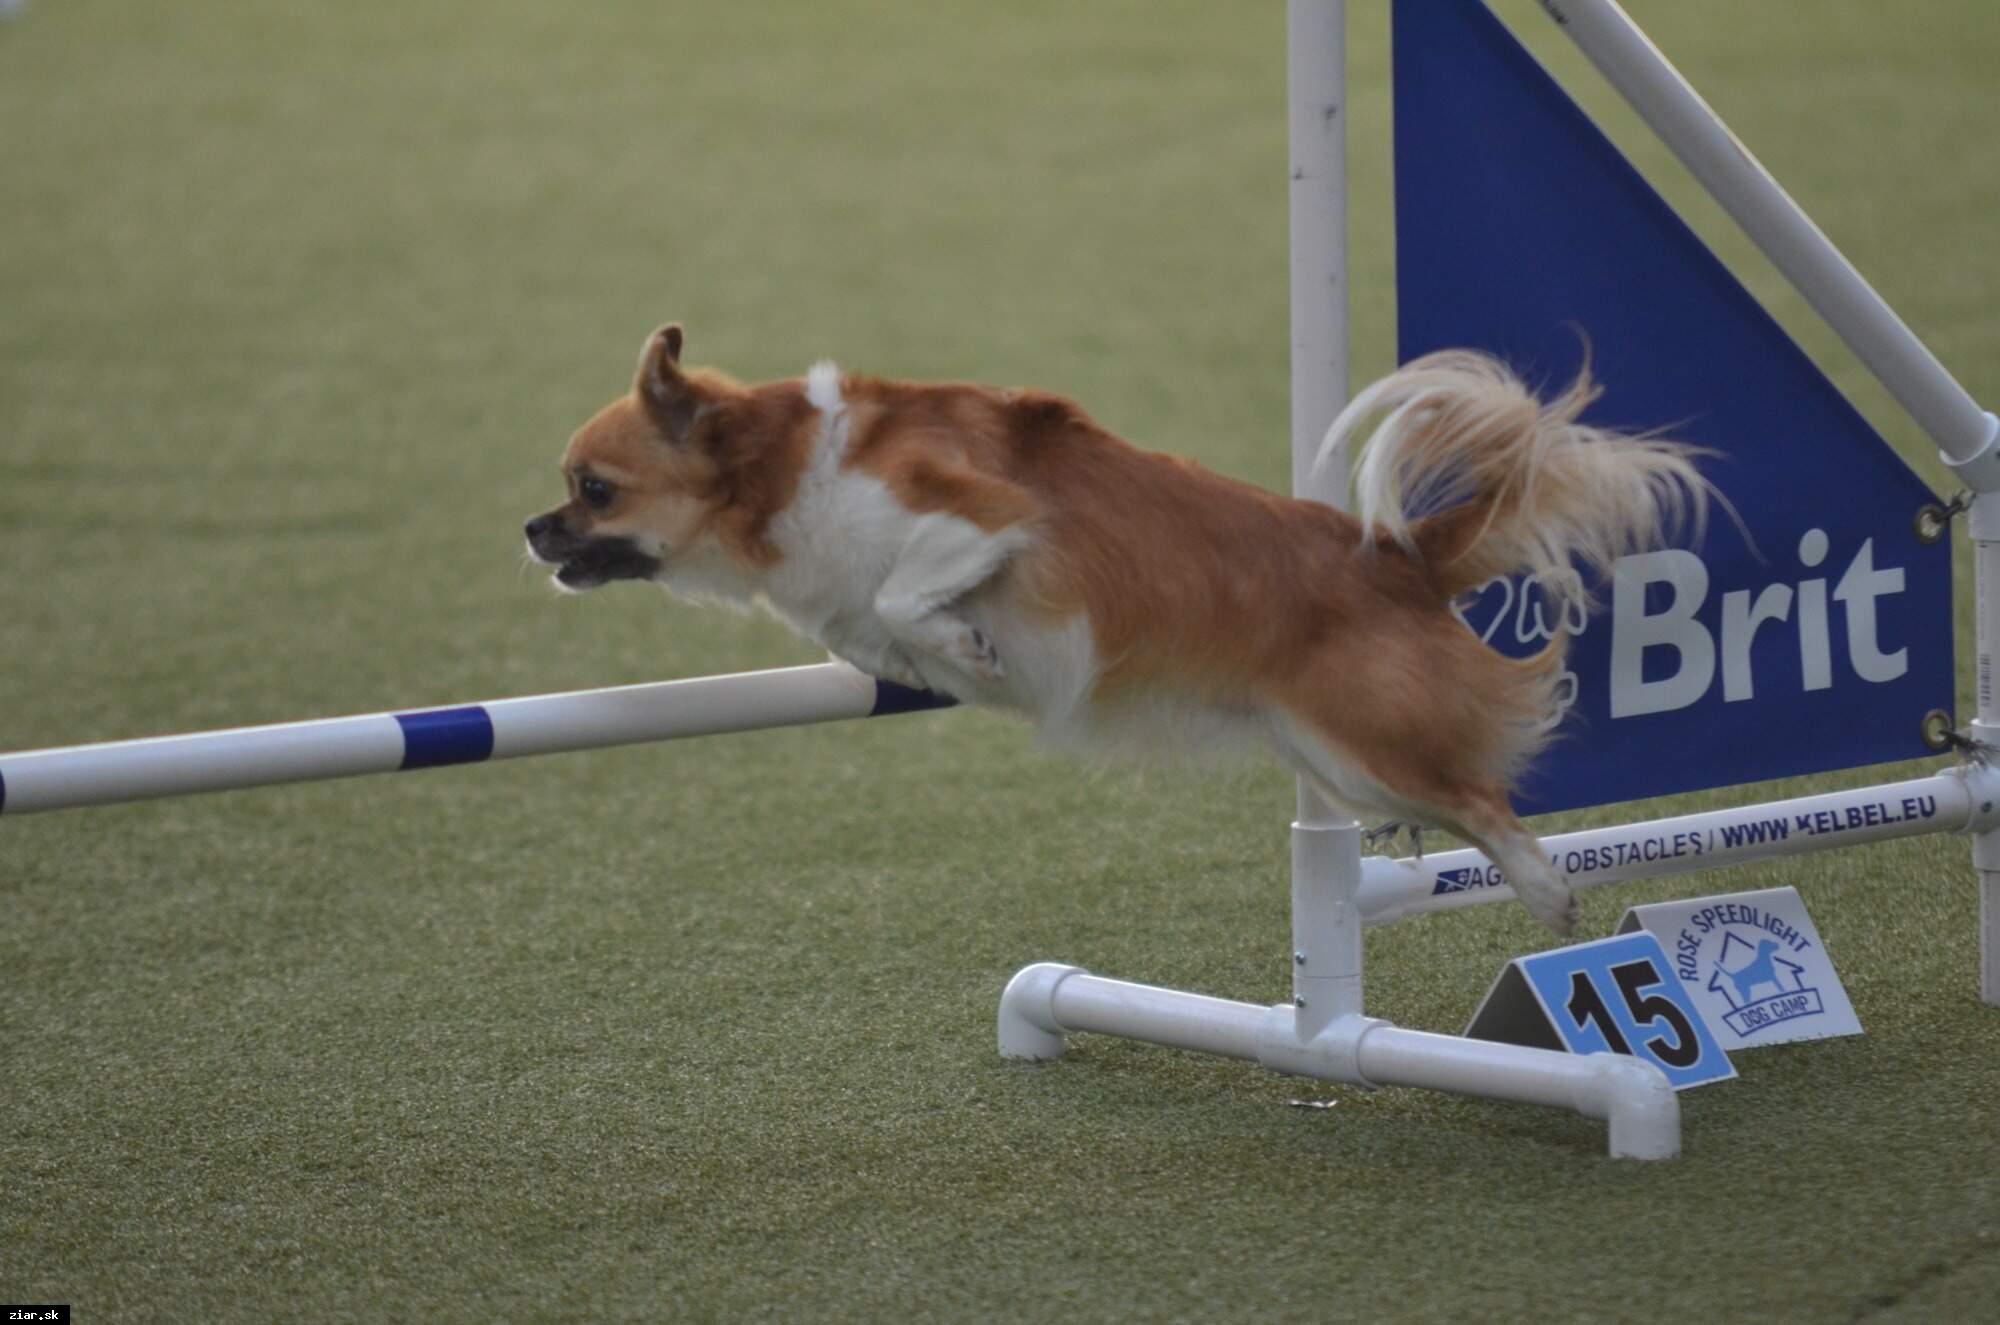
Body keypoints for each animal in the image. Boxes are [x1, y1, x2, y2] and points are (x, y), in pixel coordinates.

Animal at [520, 326, 1704, 940]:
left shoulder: (986, 515)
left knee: (1487, 797)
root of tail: (1392, 556)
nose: (530, 528)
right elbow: (871, 637)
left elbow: (909, 593)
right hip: (1332, 758)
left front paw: (966, 646)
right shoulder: (849, 614)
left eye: (593, 486)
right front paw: (937, 657)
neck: (783, 477)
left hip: (1366, 743)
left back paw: (1549, 891)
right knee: (1460, 798)